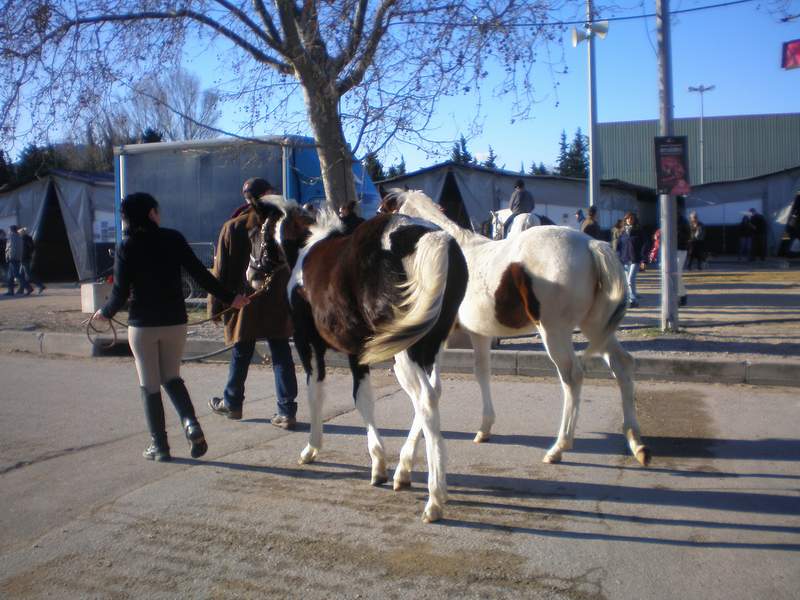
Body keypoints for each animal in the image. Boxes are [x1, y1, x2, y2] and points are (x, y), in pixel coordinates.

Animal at [268, 196, 468, 520]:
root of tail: (432, 237)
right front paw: (381, 466)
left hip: (405, 354)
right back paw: (404, 471)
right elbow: (363, 398)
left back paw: (435, 498)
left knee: (425, 399)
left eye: (259, 230)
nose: (252, 272)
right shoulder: (358, 353)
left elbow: (318, 394)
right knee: (432, 393)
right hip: (429, 347)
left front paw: (313, 449)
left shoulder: (308, 344)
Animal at [382, 190, 648, 486]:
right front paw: (484, 429)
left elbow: (433, 389)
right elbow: (481, 373)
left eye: (383, 212)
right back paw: (636, 442)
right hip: (596, 327)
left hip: (555, 331)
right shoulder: (479, 335)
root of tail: (591, 245)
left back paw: (559, 447)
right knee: (623, 365)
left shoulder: (439, 339)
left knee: (573, 376)